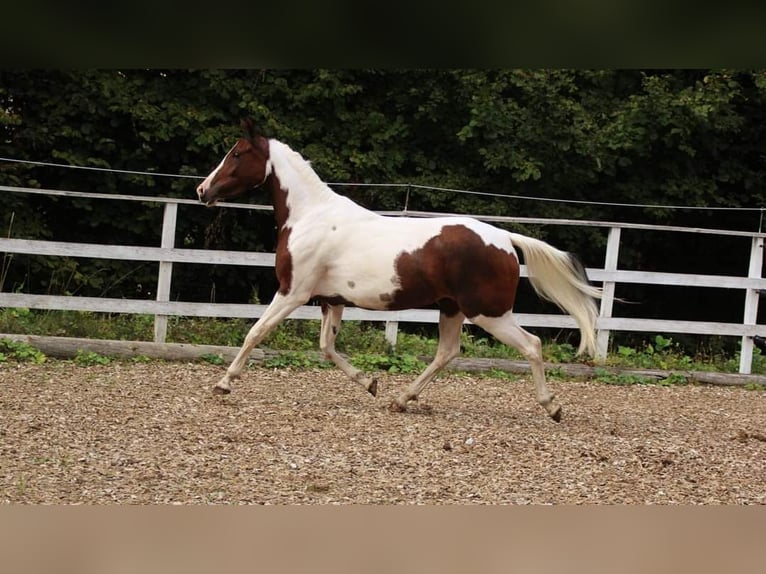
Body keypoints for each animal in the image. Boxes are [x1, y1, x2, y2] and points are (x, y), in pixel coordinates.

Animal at [195, 119, 604, 424]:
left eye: (237, 153)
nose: (202, 190)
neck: (310, 216)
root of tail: (503, 237)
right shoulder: (332, 301)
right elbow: (327, 347)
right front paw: (371, 383)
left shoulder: (292, 292)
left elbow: (255, 332)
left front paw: (223, 385)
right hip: (452, 309)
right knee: (447, 352)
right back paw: (401, 399)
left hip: (488, 313)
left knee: (531, 345)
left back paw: (553, 407)